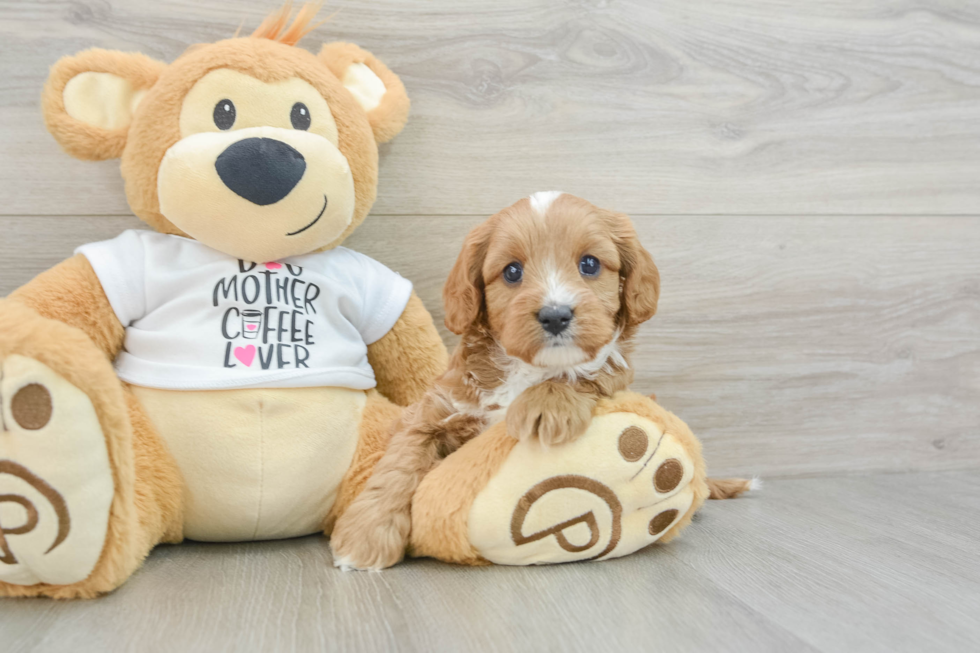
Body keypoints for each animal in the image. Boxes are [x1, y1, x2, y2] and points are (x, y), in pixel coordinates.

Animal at [332, 191, 668, 568]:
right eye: (512, 271)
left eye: (590, 265)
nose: (555, 316)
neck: (524, 369)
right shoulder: (433, 409)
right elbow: (399, 464)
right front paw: (365, 536)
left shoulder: (615, 370)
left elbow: (590, 371)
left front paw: (546, 405)